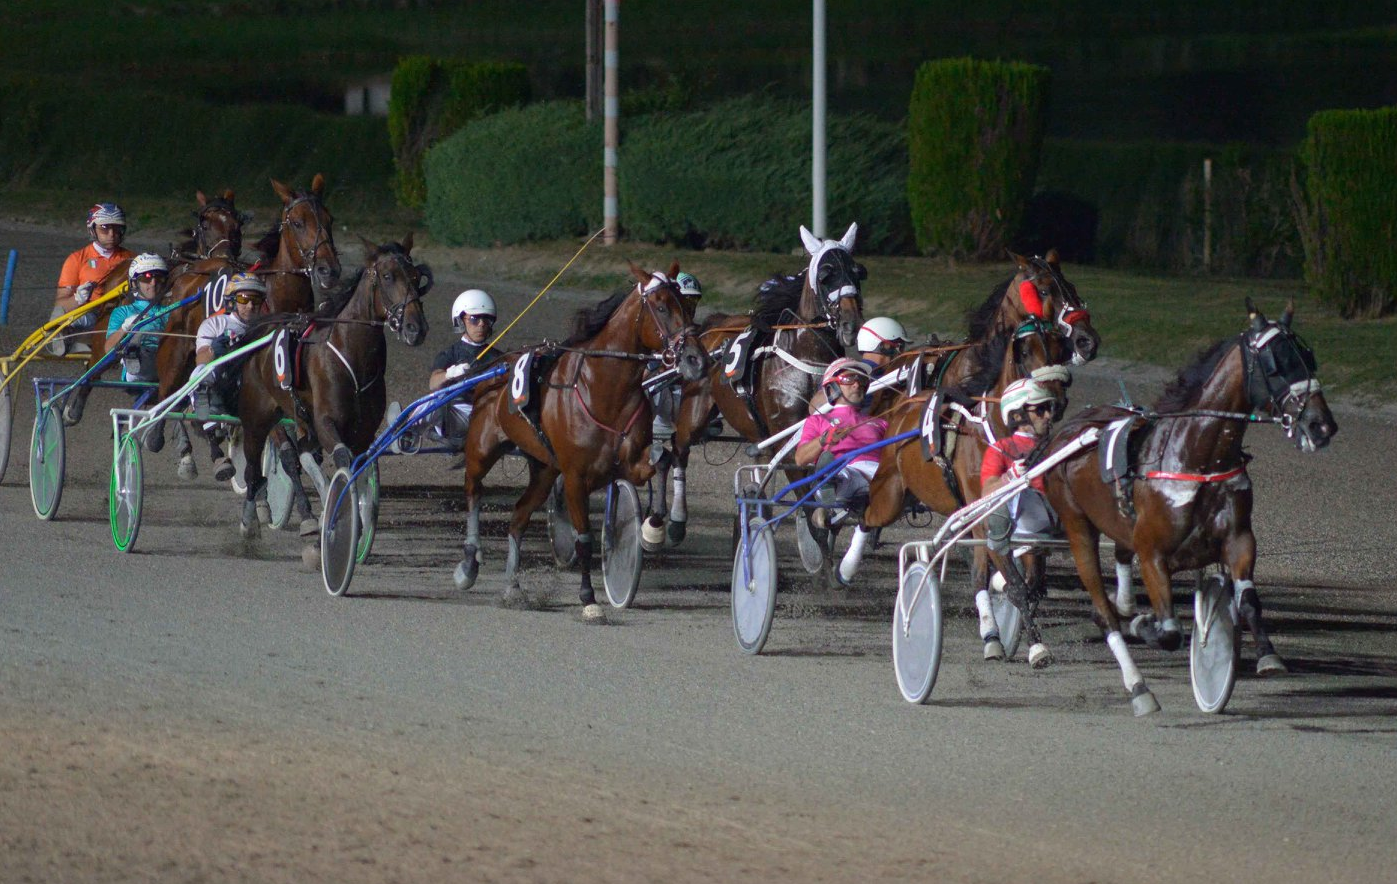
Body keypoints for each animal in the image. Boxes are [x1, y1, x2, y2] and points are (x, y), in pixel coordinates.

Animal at [237, 236, 427, 539]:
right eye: (387, 276)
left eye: (416, 277)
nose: (415, 327)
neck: (354, 355)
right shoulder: (327, 422)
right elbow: (342, 459)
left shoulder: (362, 432)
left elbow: (357, 468)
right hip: (258, 417)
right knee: (255, 468)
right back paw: (249, 520)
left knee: (302, 451)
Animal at [455, 265, 709, 617]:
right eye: (660, 307)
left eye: (686, 307)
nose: (697, 360)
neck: (604, 389)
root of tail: (493, 368)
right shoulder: (576, 476)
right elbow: (585, 539)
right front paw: (589, 598)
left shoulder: (628, 461)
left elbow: (662, 460)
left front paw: (655, 527)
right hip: (482, 448)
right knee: (473, 491)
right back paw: (468, 564)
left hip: (544, 469)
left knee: (518, 518)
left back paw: (512, 587)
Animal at [639, 222, 860, 544]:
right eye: (826, 274)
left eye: (858, 272)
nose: (850, 322)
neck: (807, 357)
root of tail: (711, 328)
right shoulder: (786, 433)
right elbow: (805, 492)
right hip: (694, 410)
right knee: (678, 451)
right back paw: (673, 521)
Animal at [1044, 300, 1335, 715]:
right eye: (1276, 363)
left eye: (1309, 358)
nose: (1321, 426)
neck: (1196, 456)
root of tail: (1069, 431)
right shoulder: (1152, 552)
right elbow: (1168, 632)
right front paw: (1147, 626)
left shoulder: (1239, 538)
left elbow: (1248, 601)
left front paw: (1268, 656)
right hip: (1077, 526)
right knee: (1104, 614)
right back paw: (1138, 686)